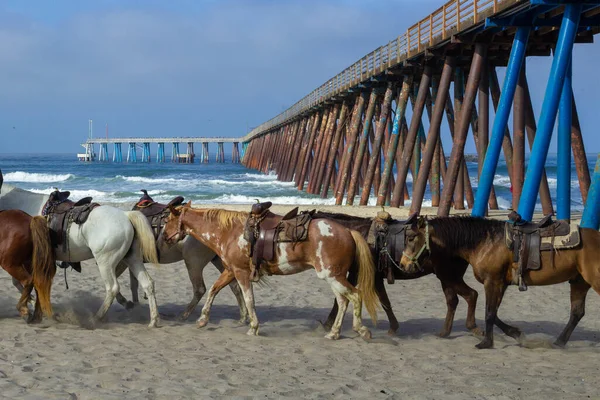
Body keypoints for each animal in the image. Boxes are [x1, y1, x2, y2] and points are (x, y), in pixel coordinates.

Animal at [164, 202, 380, 340]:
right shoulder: (231, 270)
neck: (229, 232)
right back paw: (334, 333)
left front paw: (253, 327)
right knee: (343, 301)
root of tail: (348, 231)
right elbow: (213, 290)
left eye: (167, 220)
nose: (165, 237)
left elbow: (248, 299)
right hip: (333, 277)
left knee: (355, 296)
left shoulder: (241, 273)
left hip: (332, 276)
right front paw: (202, 319)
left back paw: (361, 330)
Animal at [314, 211, 482, 340]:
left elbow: (382, 302)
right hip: (446, 278)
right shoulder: (359, 275)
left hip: (449, 277)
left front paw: (329, 324)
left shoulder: (369, 277)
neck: (355, 234)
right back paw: (445, 332)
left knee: (470, 295)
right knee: (452, 301)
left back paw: (471, 328)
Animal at [398, 216, 600, 350]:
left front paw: (486, 342)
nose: (403, 264)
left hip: (594, 280)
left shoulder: (492, 282)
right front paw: (516, 333)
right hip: (579, 282)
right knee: (576, 313)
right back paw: (559, 342)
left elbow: (489, 313)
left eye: (411, 238)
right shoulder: (500, 284)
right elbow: (493, 313)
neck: (485, 242)